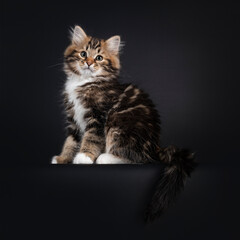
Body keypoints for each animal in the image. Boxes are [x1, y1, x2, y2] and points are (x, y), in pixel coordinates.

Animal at [50, 25, 195, 221]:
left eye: (99, 58)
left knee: (139, 159)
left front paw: (84, 157)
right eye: (83, 53)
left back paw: (105, 158)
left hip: (118, 124)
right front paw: (63, 158)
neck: (85, 82)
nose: (88, 63)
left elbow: (91, 138)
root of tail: (155, 147)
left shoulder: (98, 117)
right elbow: (70, 141)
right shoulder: (73, 119)